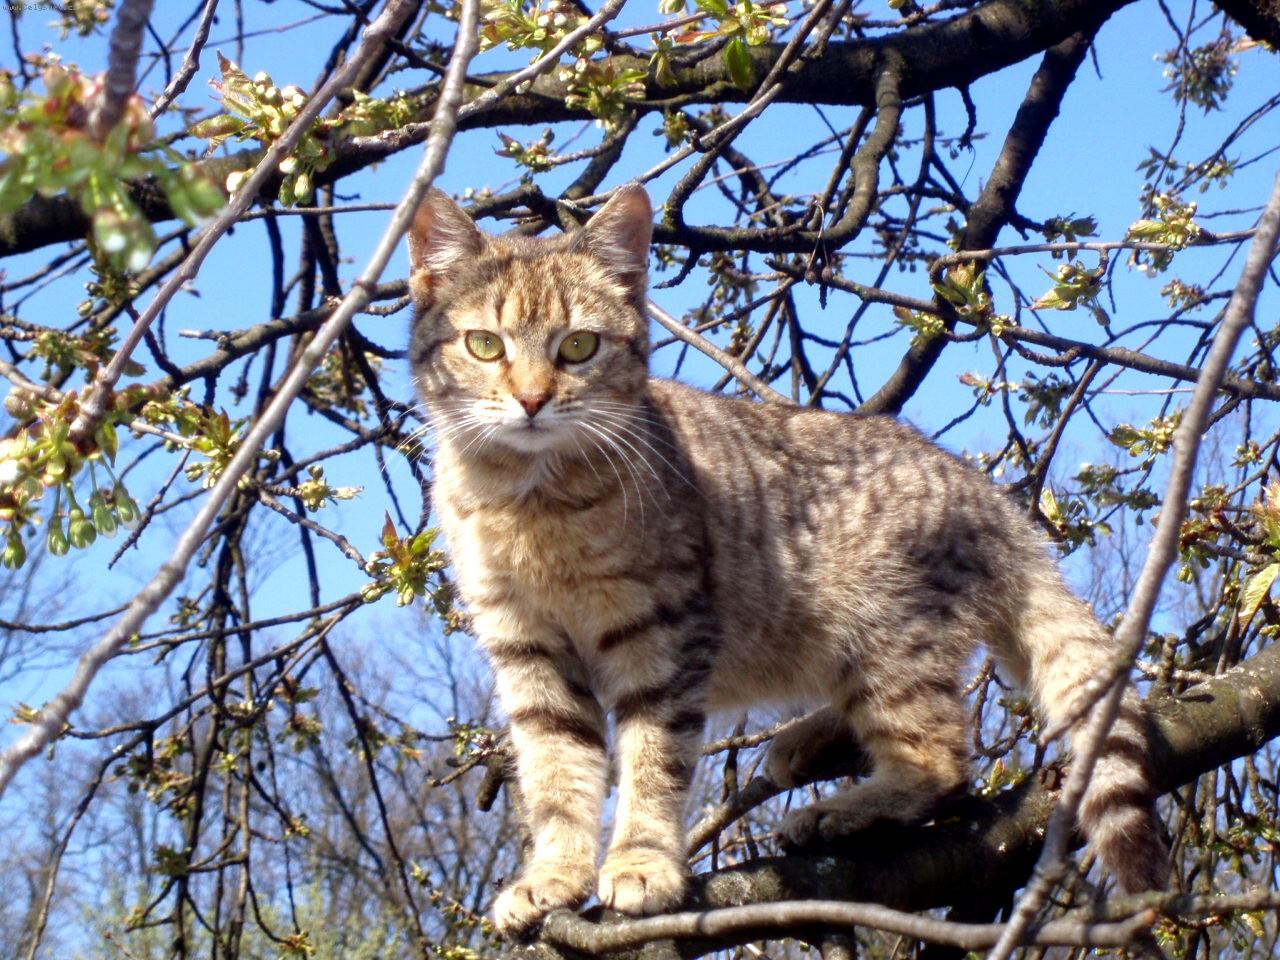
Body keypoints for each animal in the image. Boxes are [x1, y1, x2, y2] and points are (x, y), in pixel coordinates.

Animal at [406, 183, 1169, 937]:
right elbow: (556, 777)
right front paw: (555, 876)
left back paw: (842, 808)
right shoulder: (529, 651)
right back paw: (809, 745)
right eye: (484, 345)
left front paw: (642, 862)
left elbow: (653, 760)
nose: (533, 400)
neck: (528, 501)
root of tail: (982, 490)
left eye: (578, 347)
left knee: (944, 760)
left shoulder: (662, 637)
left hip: (886, 635)